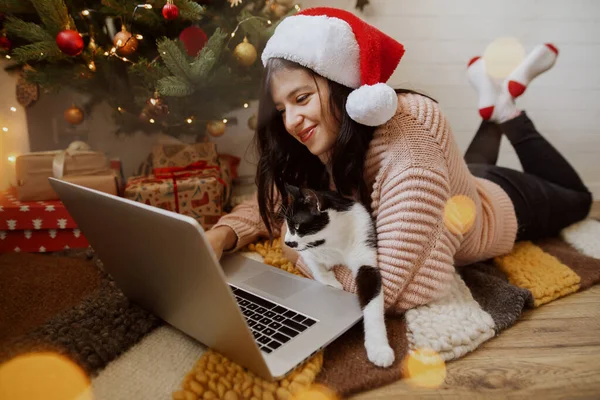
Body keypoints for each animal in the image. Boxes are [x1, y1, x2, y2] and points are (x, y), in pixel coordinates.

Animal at [284, 184, 396, 368]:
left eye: (297, 226)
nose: (286, 242)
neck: (333, 240)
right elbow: (314, 263)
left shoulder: (364, 242)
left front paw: (379, 348)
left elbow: (372, 301)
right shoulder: (308, 251)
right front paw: (332, 282)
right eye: (287, 225)